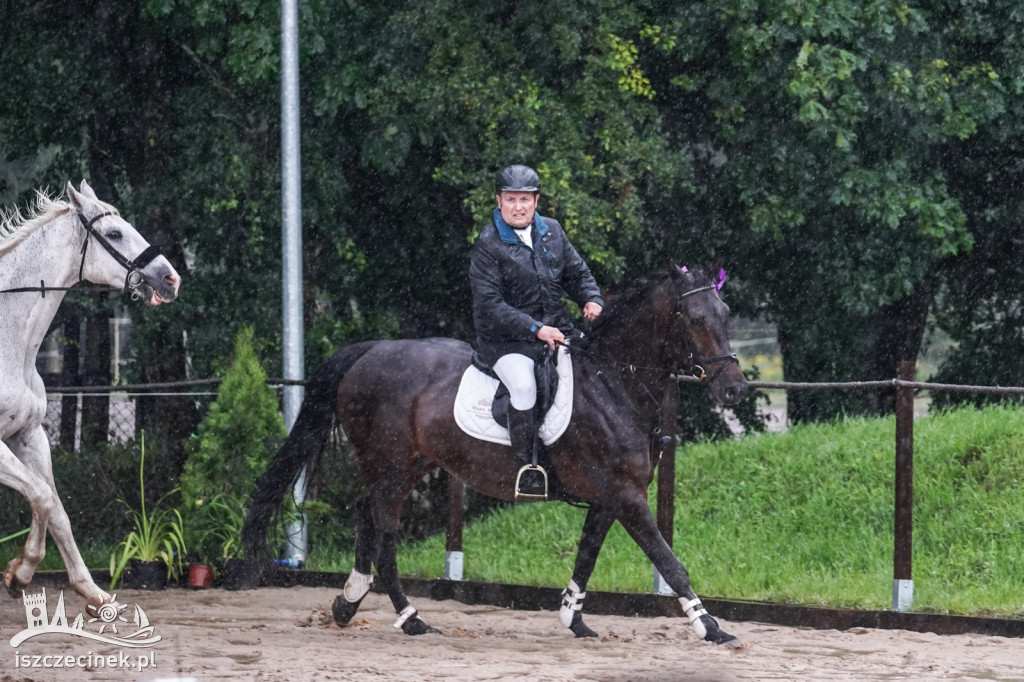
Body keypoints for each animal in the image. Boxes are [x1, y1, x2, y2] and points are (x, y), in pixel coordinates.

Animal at [0, 179, 180, 606]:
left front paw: (92, 591)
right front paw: (20, 572)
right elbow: (42, 497)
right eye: (114, 234)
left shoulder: (28, 436)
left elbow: (55, 508)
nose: (171, 279)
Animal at [243, 264, 749, 643]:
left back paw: (348, 602)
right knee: (384, 533)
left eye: (725, 313)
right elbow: (669, 562)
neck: (612, 382)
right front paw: (710, 627)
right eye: (695, 320)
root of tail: (369, 352)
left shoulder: (610, 498)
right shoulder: (625, 496)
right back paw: (410, 619)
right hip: (388, 464)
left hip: (407, 465)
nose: (735, 389)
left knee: (367, 512)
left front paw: (574, 618)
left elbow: (586, 556)